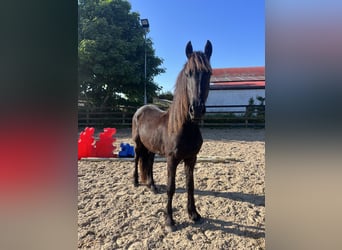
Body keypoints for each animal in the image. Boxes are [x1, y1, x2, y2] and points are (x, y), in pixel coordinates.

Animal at [132, 39, 212, 232]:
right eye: (189, 73)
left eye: (209, 73)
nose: (196, 109)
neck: (183, 127)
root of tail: (140, 110)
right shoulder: (172, 159)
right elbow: (171, 187)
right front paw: (169, 220)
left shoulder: (191, 158)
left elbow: (190, 185)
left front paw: (194, 214)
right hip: (138, 144)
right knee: (137, 159)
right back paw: (136, 182)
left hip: (151, 147)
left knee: (149, 163)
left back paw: (152, 186)